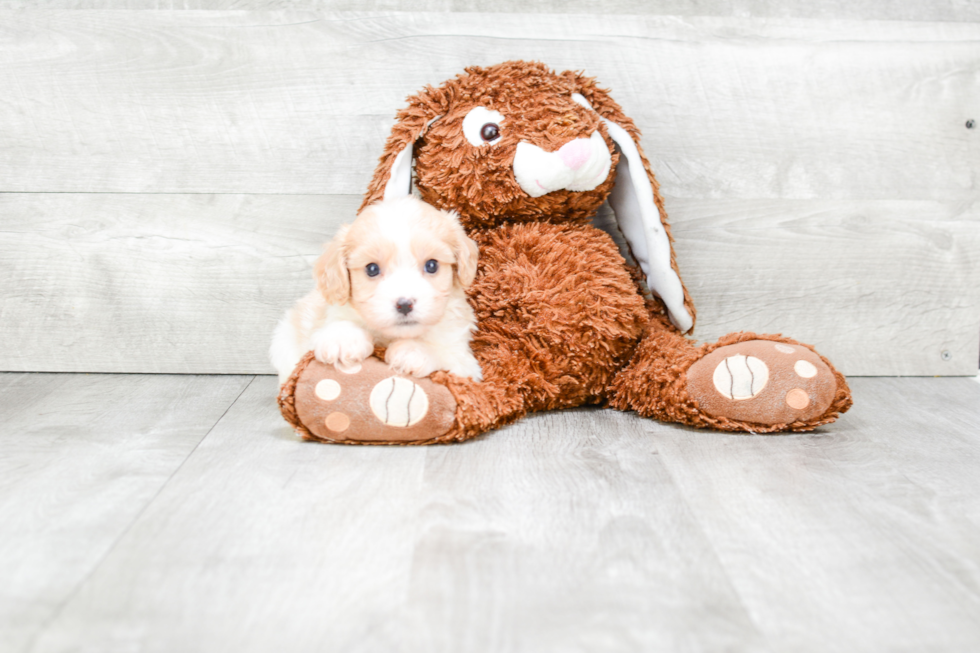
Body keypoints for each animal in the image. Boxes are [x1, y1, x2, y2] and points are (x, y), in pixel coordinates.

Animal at [268, 196, 482, 384]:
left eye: (432, 265)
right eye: (372, 269)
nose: (405, 305)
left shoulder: (466, 363)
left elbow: (448, 354)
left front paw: (415, 351)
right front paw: (343, 339)